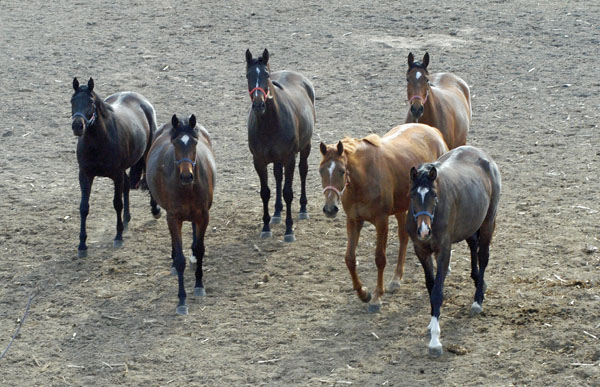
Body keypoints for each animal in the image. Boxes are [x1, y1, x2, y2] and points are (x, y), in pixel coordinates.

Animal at [70, 77, 161, 258]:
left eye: (91, 102)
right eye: (72, 101)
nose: (77, 126)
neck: (97, 143)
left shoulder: (116, 175)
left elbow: (117, 203)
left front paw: (118, 236)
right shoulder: (85, 175)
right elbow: (84, 208)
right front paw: (82, 245)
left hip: (146, 152)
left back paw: (155, 210)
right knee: (126, 185)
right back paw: (126, 219)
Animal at [145, 113, 216, 316]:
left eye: (194, 142)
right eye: (175, 143)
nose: (186, 176)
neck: (187, 188)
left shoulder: (203, 216)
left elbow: (200, 250)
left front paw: (199, 285)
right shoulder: (173, 218)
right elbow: (179, 259)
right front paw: (182, 300)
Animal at [246, 47, 316, 242]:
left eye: (266, 74)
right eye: (247, 75)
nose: (259, 105)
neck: (270, 123)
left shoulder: (289, 159)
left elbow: (288, 193)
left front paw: (289, 230)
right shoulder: (259, 161)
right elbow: (265, 192)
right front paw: (266, 227)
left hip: (306, 147)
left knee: (303, 170)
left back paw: (303, 209)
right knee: (278, 176)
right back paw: (277, 213)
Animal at [316, 124, 448, 312]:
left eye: (341, 171)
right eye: (321, 171)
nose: (329, 208)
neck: (363, 179)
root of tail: (434, 131)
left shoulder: (381, 221)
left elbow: (380, 258)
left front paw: (377, 296)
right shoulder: (353, 220)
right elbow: (350, 258)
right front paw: (363, 293)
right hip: (402, 208)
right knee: (403, 237)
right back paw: (396, 279)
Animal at [408, 146, 502, 358]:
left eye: (434, 196)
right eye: (413, 195)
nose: (424, 231)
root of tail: (484, 156)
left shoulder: (443, 251)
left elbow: (437, 292)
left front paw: (435, 341)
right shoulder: (421, 251)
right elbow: (430, 286)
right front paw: (431, 322)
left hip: (487, 223)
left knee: (483, 257)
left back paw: (478, 300)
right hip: (470, 224)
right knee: (473, 247)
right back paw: (478, 280)